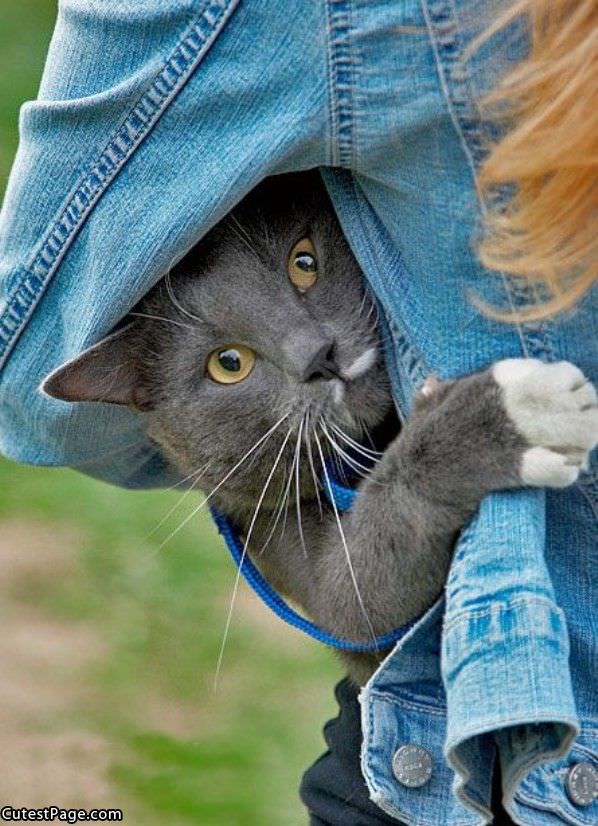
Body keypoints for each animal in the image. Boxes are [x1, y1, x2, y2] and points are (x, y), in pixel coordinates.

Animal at [43, 169, 598, 684]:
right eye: (228, 363)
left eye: (304, 262)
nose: (317, 354)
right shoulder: (265, 523)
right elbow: (357, 600)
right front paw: (513, 415)